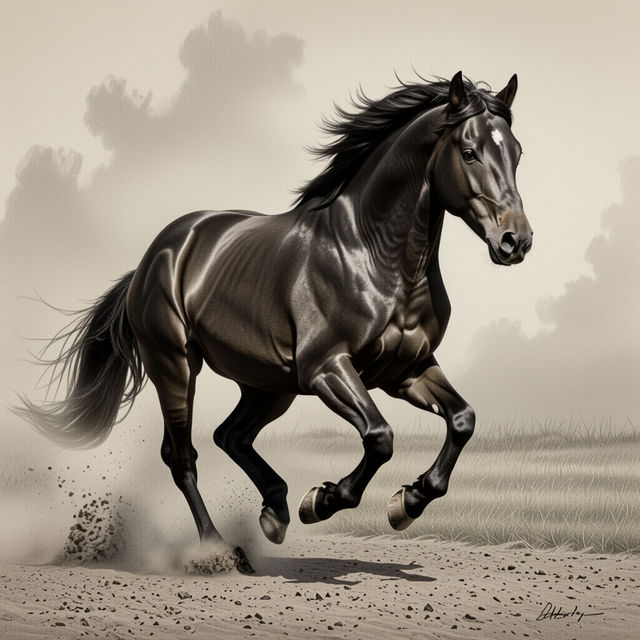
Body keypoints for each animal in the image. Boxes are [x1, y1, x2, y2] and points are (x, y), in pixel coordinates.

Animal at [17, 72, 532, 573]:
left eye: (517, 151)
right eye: (469, 152)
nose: (516, 241)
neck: (373, 256)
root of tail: (156, 256)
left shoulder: (406, 370)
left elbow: (462, 420)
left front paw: (407, 501)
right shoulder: (328, 368)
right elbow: (380, 437)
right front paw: (323, 500)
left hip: (270, 386)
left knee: (231, 435)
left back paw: (275, 512)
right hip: (176, 366)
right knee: (183, 456)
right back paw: (220, 549)